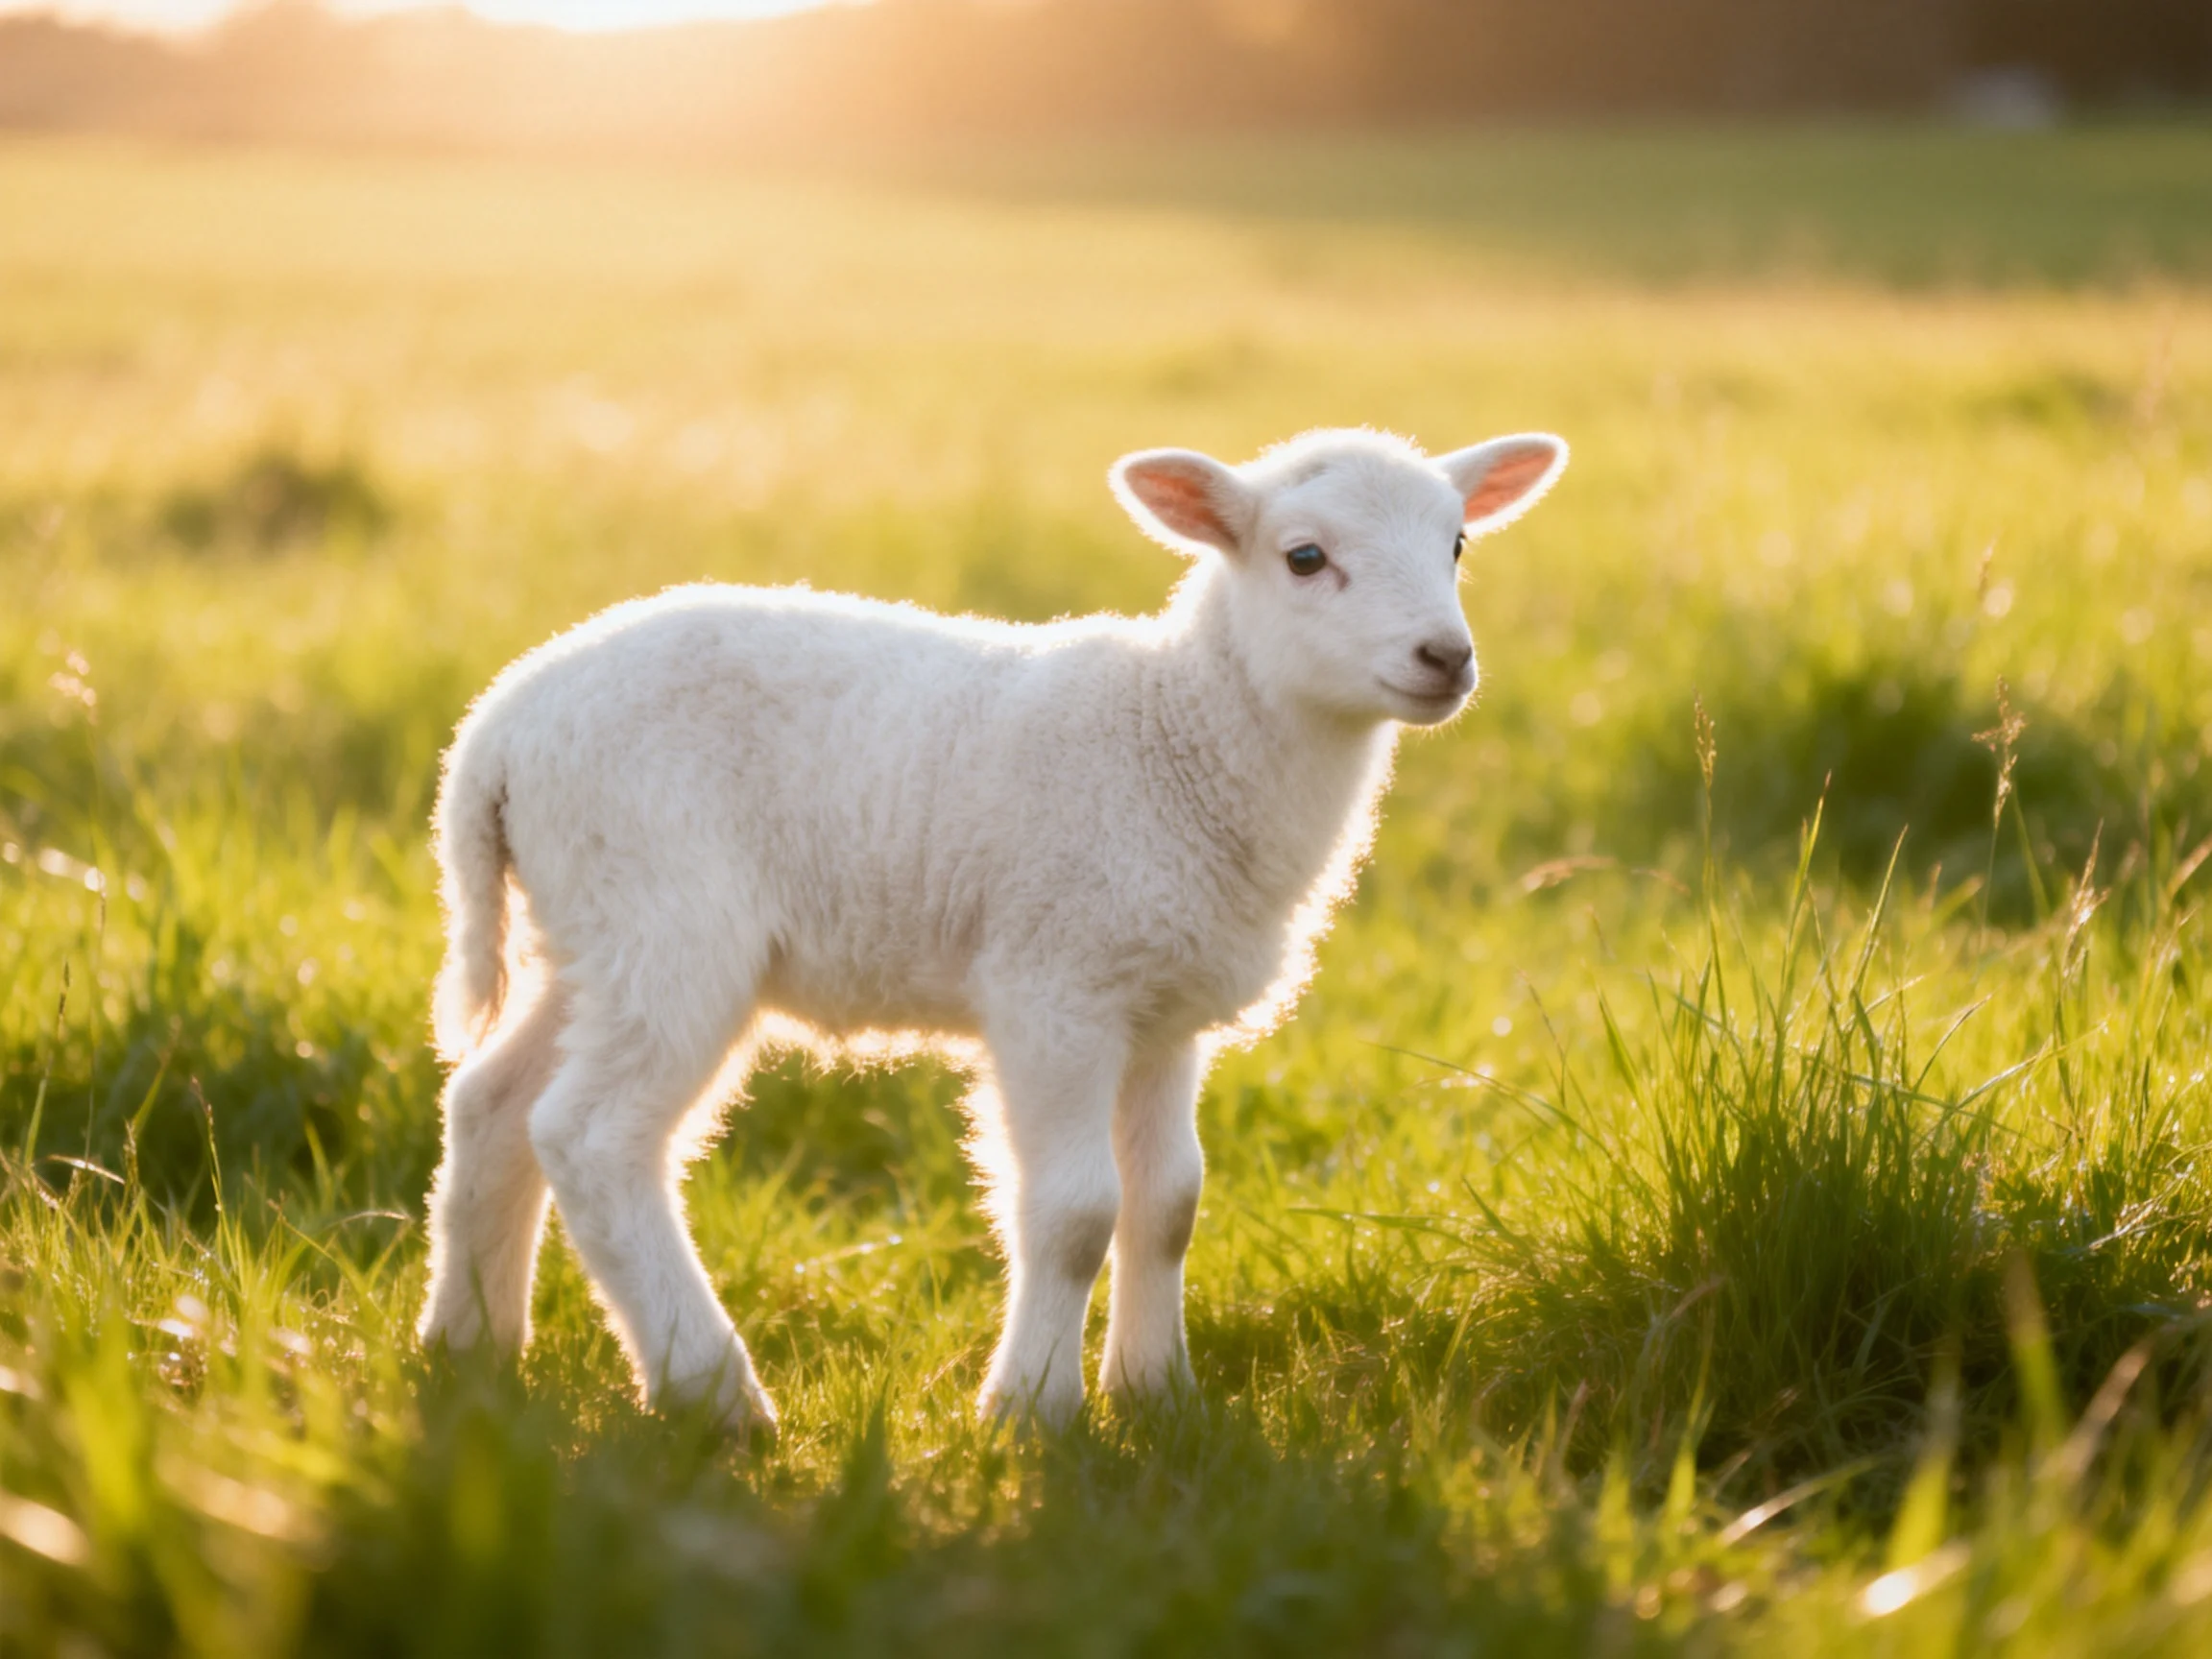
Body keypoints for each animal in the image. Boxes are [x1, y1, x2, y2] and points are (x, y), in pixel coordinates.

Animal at [415, 426, 1569, 1435]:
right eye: (1305, 557)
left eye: (1457, 545)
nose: (1445, 657)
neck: (1178, 735)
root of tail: (496, 730)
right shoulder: (1053, 989)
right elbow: (1074, 1214)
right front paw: (1032, 1410)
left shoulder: (1162, 1010)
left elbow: (1169, 1204)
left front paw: (1159, 1398)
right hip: (667, 920)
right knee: (592, 1138)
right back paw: (714, 1394)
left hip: (589, 930)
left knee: (492, 1103)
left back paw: (471, 1345)